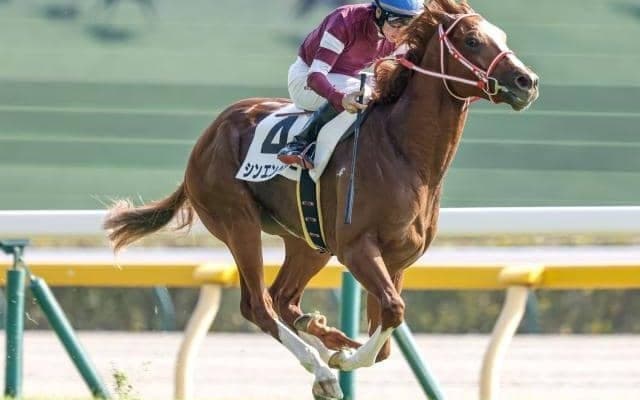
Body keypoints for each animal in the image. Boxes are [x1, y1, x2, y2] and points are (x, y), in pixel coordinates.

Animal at [104, 1, 538, 399]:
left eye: (502, 37)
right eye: (472, 40)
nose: (526, 81)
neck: (404, 154)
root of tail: (208, 135)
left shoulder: (397, 258)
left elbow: (387, 331)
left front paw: (340, 347)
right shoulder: (357, 248)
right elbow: (393, 311)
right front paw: (343, 360)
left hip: (309, 241)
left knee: (283, 299)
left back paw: (318, 334)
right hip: (238, 222)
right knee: (258, 304)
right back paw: (323, 369)